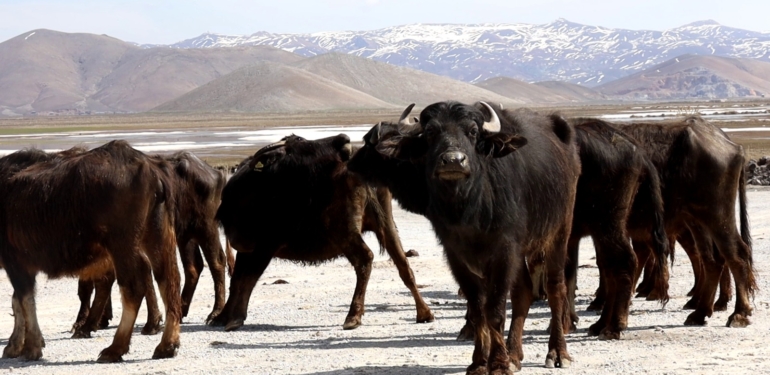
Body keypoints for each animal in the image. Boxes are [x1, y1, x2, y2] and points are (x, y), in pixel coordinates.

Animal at [0, 140, 182, 362]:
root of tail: (152, 170)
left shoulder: (16, 263)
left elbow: (24, 301)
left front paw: (31, 347)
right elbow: (18, 302)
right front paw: (16, 345)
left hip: (122, 244)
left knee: (133, 287)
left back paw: (115, 347)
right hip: (157, 235)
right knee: (168, 281)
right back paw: (167, 344)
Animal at [210, 134, 432, 332]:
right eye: (301, 143)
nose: (344, 140)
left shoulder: (266, 245)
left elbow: (249, 278)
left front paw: (236, 318)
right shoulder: (245, 249)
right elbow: (237, 279)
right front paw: (221, 317)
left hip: (344, 229)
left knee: (365, 259)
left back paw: (353, 316)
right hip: (385, 224)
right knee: (403, 265)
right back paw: (424, 313)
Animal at [352, 101, 580, 374]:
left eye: (472, 131)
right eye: (431, 132)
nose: (453, 160)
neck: (470, 209)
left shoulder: (504, 252)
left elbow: (494, 310)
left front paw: (498, 364)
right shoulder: (456, 256)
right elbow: (478, 307)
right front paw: (480, 362)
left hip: (559, 232)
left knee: (556, 288)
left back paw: (557, 352)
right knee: (523, 291)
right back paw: (515, 354)